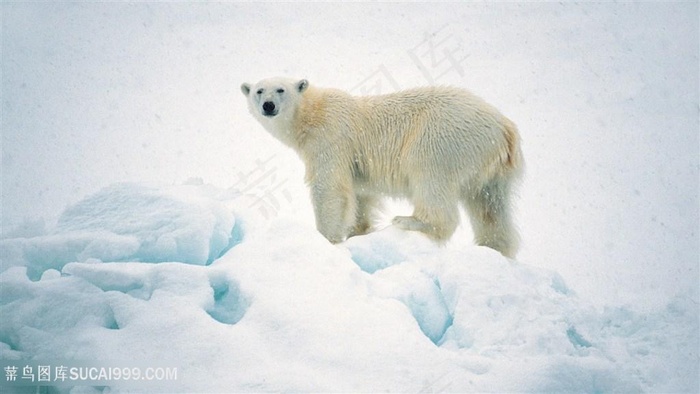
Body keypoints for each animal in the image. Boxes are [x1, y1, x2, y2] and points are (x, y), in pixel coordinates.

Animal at [243, 77, 524, 258]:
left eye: (280, 90)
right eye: (259, 91)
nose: (268, 105)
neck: (311, 114)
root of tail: (505, 127)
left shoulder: (329, 139)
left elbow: (330, 188)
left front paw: (326, 239)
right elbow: (361, 195)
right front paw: (358, 232)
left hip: (443, 138)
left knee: (429, 176)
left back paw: (410, 220)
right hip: (492, 168)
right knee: (490, 207)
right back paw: (493, 247)